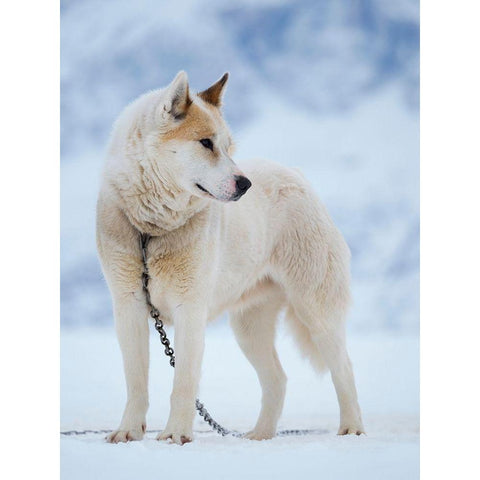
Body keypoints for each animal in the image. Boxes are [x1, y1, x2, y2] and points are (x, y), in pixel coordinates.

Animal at [96, 69, 364, 444]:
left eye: (227, 146)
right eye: (206, 143)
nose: (245, 184)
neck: (151, 229)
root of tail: (296, 174)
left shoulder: (190, 309)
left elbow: (184, 383)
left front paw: (176, 435)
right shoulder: (129, 305)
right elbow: (136, 382)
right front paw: (128, 432)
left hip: (316, 309)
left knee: (344, 369)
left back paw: (352, 428)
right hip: (249, 327)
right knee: (277, 379)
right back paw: (259, 436)